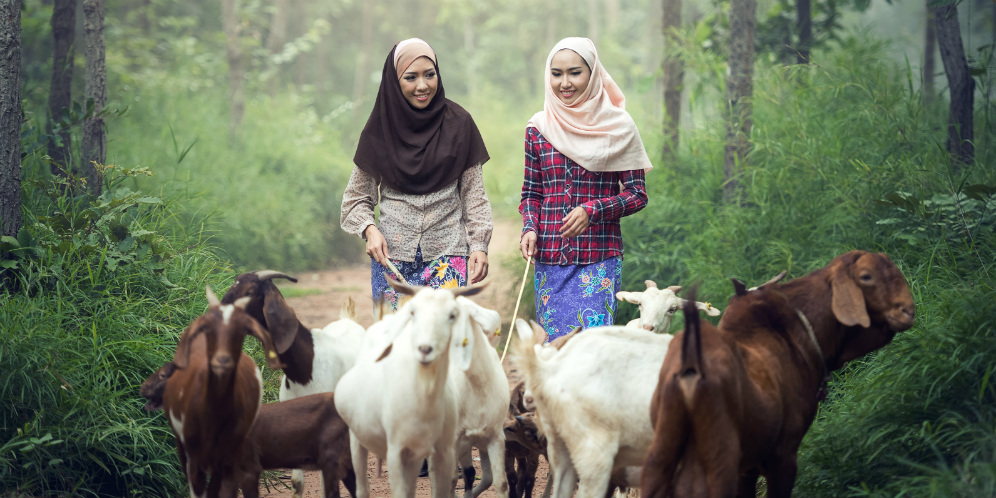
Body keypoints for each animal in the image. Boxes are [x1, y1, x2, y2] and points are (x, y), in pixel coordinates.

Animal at [334, 280, 486, 498]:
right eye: (413, 313)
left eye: (452, 315)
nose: (425, 349)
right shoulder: (396, 451)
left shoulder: (441, 451)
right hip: (357, 438)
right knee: (362, 486)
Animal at [640, 251, 916, 498]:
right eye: (866, 276)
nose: (908, 311)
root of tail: (691, 366)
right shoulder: (783, 455)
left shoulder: (749, 467)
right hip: (720, 460)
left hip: (660, 457)